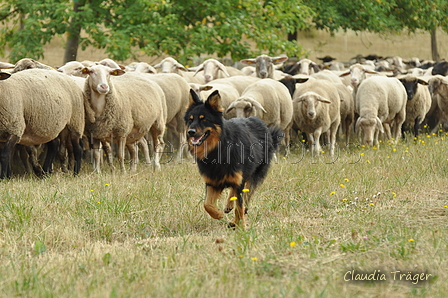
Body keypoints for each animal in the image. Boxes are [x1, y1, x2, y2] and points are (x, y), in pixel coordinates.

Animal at [184, 88, 282, 228]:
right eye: (190, 120)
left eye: (204, 119)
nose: (190, 132)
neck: (218, 148)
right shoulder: (213, 181)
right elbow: (207, 204)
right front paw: (218, 214)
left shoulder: (237, 179)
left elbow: (239, 206)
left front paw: (241, 226)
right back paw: (228, 206)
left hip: (255, 174)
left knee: (246, 195)